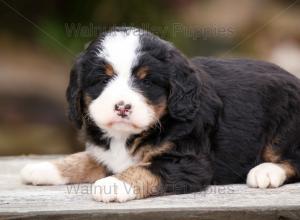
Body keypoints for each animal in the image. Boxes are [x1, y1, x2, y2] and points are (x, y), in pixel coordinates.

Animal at [20, 26, 300, 202]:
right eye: (102, 79)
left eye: (146, 81)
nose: (122, 107)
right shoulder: (106, 152)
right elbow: (86, 158)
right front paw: (45, 168)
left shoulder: (188, 162)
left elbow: (147, 170)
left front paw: (114, 184)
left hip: (286, 124)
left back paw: (265, 172)